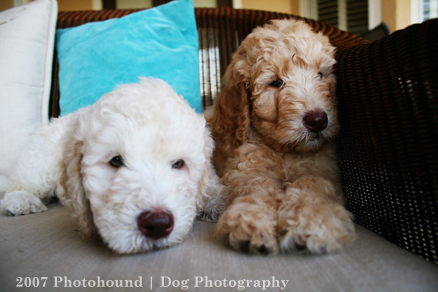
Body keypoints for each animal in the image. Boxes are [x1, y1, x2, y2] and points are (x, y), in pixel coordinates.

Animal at [0, 77, 224, 253]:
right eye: (116, 160)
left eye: (178, 163)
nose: (157, 224)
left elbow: (213, 189)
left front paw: (217, 205)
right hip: (39, 162)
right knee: (18, 184)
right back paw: (21, 199)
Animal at [206, 18, 356, 256]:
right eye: (276, 83)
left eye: (320, 75)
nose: (318, 121)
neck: (285, 150)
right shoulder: (244, 169)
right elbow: (258, 186)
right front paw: (253, 221)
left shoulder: (323, 168)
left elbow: (313, 184)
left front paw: (312, 221)